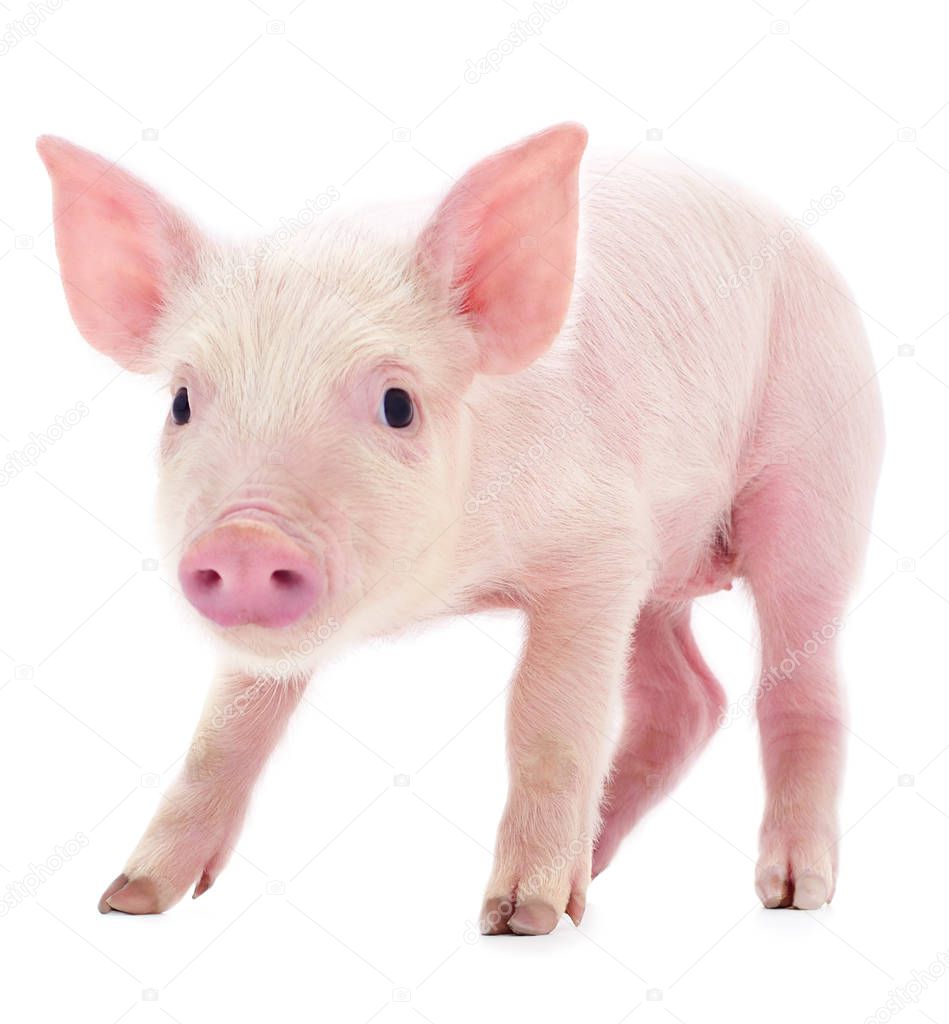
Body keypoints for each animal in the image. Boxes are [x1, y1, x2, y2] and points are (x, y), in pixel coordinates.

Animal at [37, 121, 884, 937]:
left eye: (397, 404)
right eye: (181, 402)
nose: (246, 538)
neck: (450, 585)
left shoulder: (598, 548)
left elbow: (547, 718)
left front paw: (521, 919)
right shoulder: (618, 562)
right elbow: (225, 732)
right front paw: (127, 900)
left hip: (818, 478)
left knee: (800, 679)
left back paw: (791, 892)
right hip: (662, 571)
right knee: (690, 697)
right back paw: (598, 861)